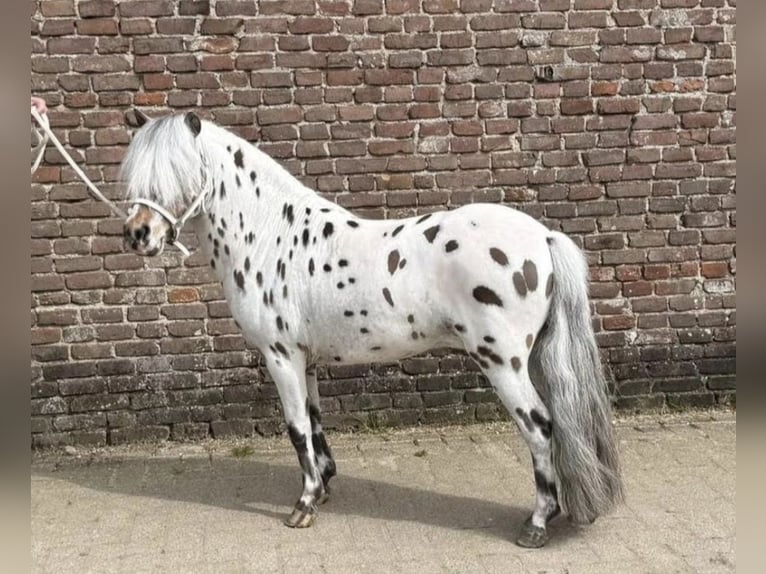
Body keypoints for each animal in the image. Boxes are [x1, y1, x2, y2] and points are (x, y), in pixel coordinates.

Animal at [119, 110, 623, 548]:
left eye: (180, 170)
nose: (138, 235)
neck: (269, 237)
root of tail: (543, 237)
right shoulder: (305, 360)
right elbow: (315, 423)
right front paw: (323, 488)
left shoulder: (280, 355)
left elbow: (296, 428)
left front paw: (303, 506)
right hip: (531, 358)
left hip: (503, 362)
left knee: (540, 427)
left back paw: (536, 524)